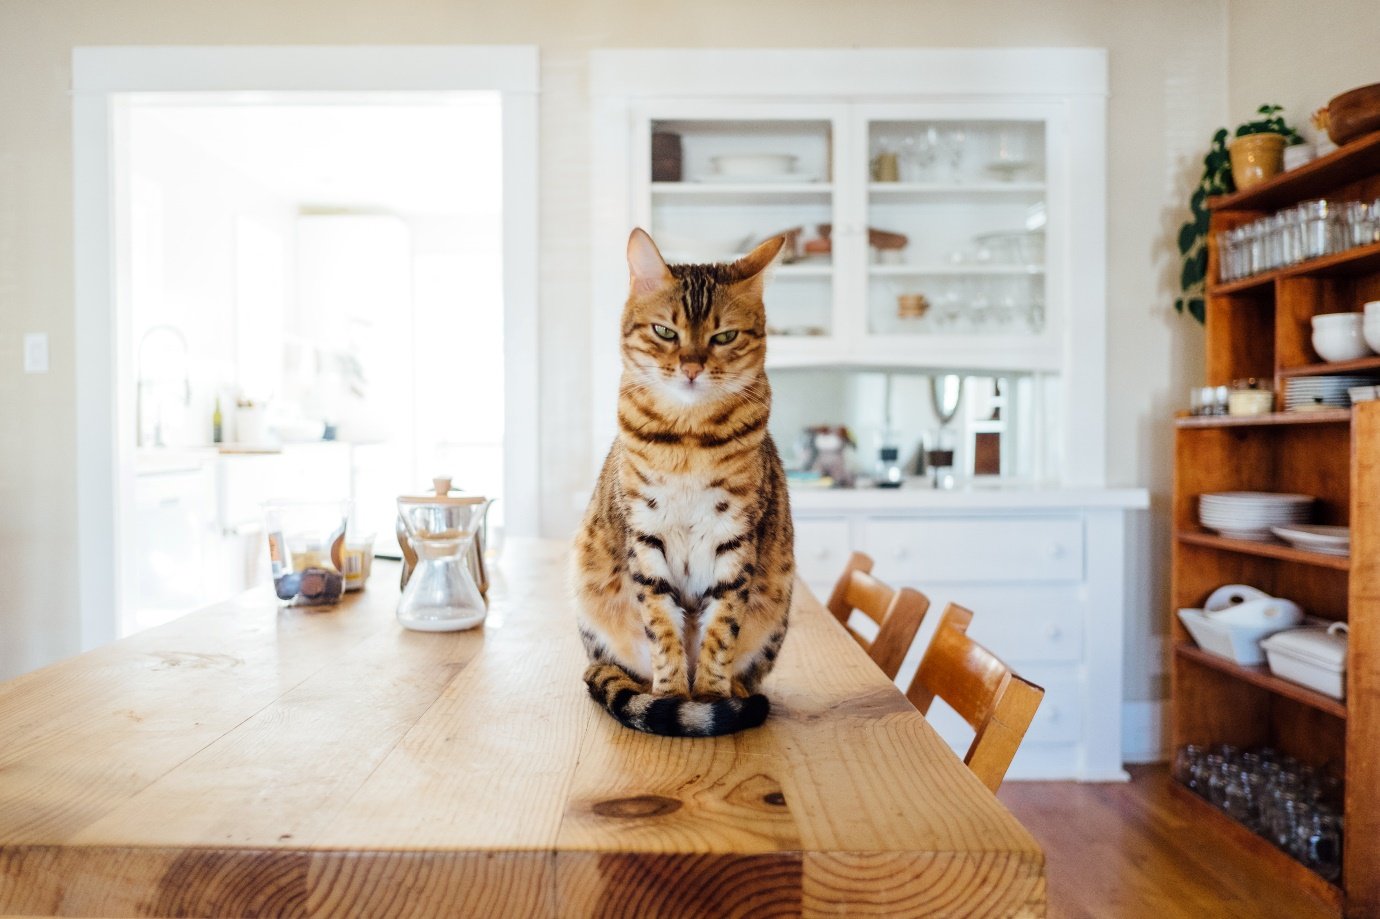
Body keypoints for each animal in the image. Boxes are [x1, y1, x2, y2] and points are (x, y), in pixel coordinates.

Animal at [571, 229, 794, 739]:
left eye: (724, 336)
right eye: (665, 332)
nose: (691, 367)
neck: (689, 439)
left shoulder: (735, 537)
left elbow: (722, 628)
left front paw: (710, 696)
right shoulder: (645, 533)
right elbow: (661, 626)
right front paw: (672, 696)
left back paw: (737, 693)